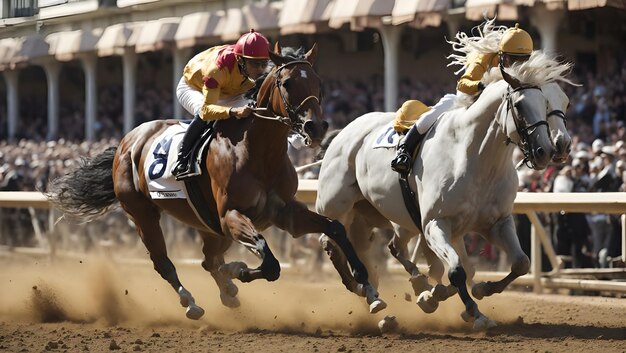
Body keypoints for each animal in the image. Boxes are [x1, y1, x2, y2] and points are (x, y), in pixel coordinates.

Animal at [46, 44, 376, 320]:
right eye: (287, 83)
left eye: (319, 83)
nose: (315, 127)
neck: (259, 151)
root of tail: (126, 141)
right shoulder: (230, 214)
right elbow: (269, 263)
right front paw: (238, 269)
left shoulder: (285, 212)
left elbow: (335, 228)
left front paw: (367, 285)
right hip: (143, 214)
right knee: (163, 261)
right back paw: (191, 301)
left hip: (206, 223)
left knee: (207, 260)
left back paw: (227, 292)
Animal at [316, 59, 572, 328]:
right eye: (521, 105)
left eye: (561, 102)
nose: (548, 150)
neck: (477, 158)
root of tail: (342, 133)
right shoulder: (434, 223)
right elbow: (457, 270)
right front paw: (475, 313)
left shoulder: (495, 223)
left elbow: (519, 263)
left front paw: (478, 289)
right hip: (337, 206)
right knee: (333, 240)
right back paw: (371, 292)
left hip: (374, 215)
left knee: (384, 246)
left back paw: (392, 289)